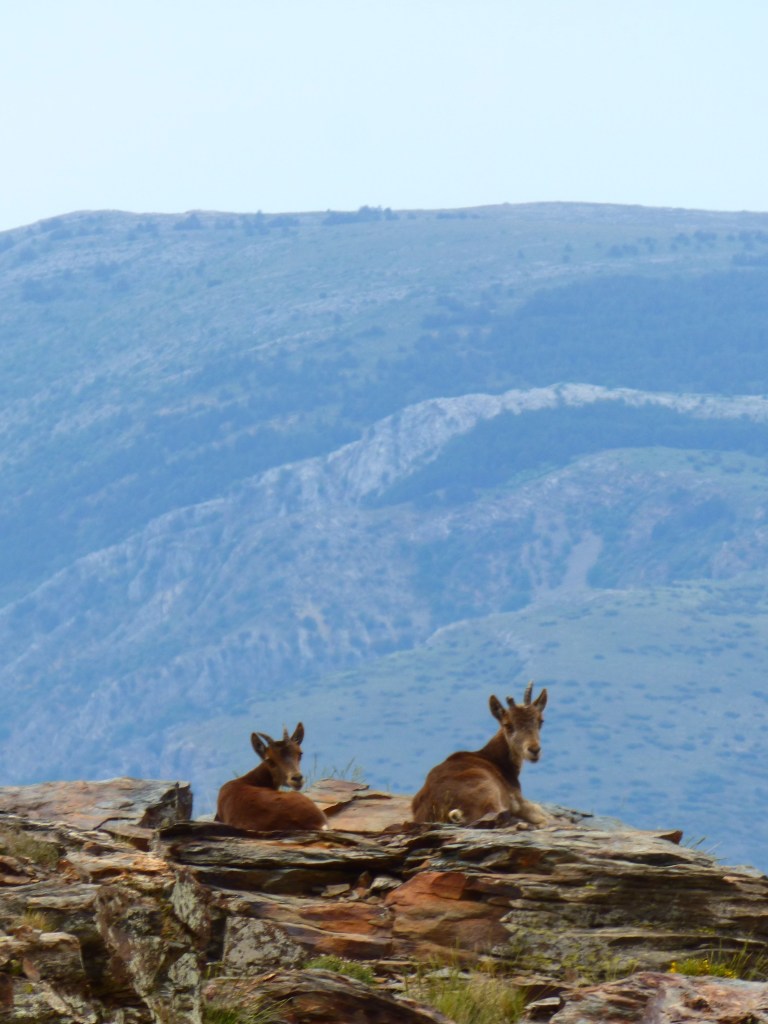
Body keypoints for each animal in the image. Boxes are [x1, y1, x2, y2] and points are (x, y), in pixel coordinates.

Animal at [411, 683, 551, 827]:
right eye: (508, 725)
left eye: (540, 721)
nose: (534, 750)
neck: (495, 759)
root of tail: (441, 809)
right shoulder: (518, 800)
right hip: (489, 792)